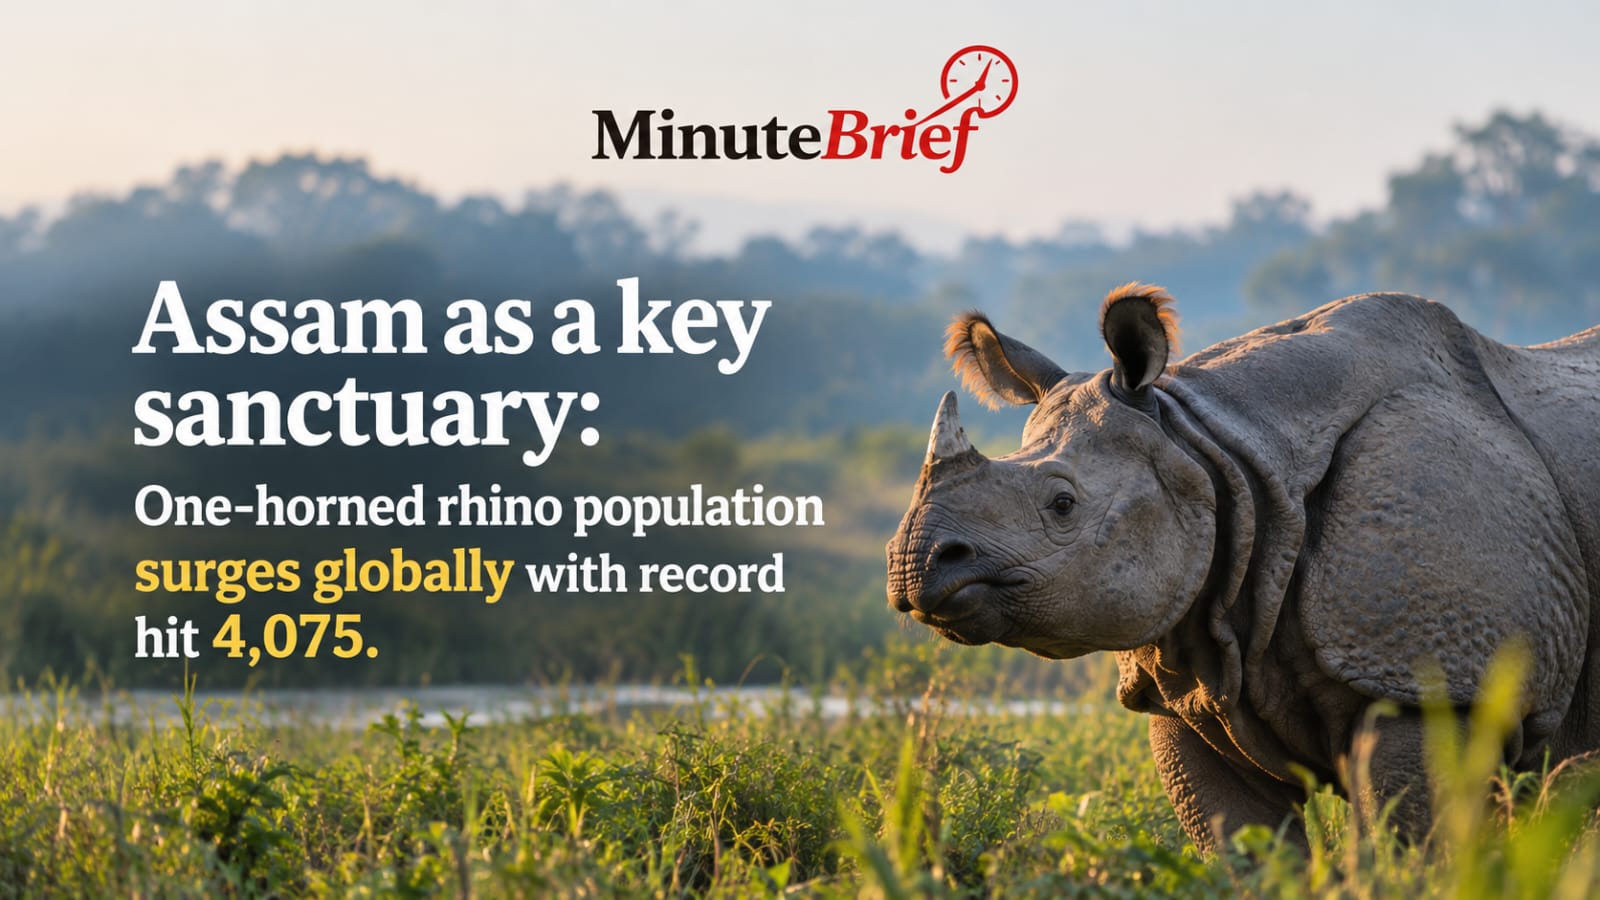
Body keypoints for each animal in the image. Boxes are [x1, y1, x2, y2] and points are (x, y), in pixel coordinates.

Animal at [886, 284, 1600, 850]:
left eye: (1062, 504)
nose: (915, 564)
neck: (1219, 452)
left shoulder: (1433, 680)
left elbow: (1408, 845)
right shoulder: (1186, 686)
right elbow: (1244, 847)